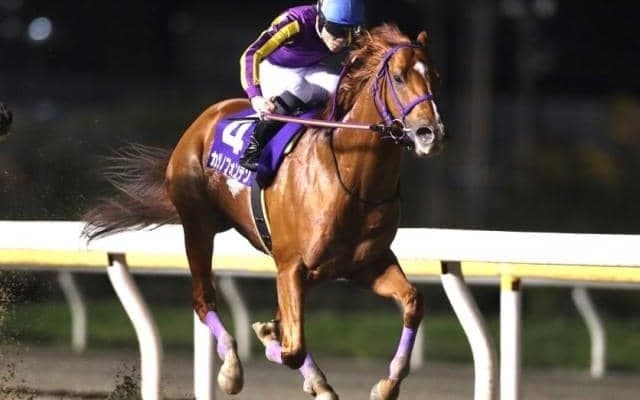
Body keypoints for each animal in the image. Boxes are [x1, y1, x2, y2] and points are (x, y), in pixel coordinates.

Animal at [83, 24, 445, 400]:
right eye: (399, 77)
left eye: (434, 75)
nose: (429, 133)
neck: (352, 178)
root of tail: (205, 118)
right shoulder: (291, 266)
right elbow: (291, 347)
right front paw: (267, 340)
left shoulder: (367, 263)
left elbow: (413, 302)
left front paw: (387, 384)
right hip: (198, 225)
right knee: (203, 300)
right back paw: (233, 368)